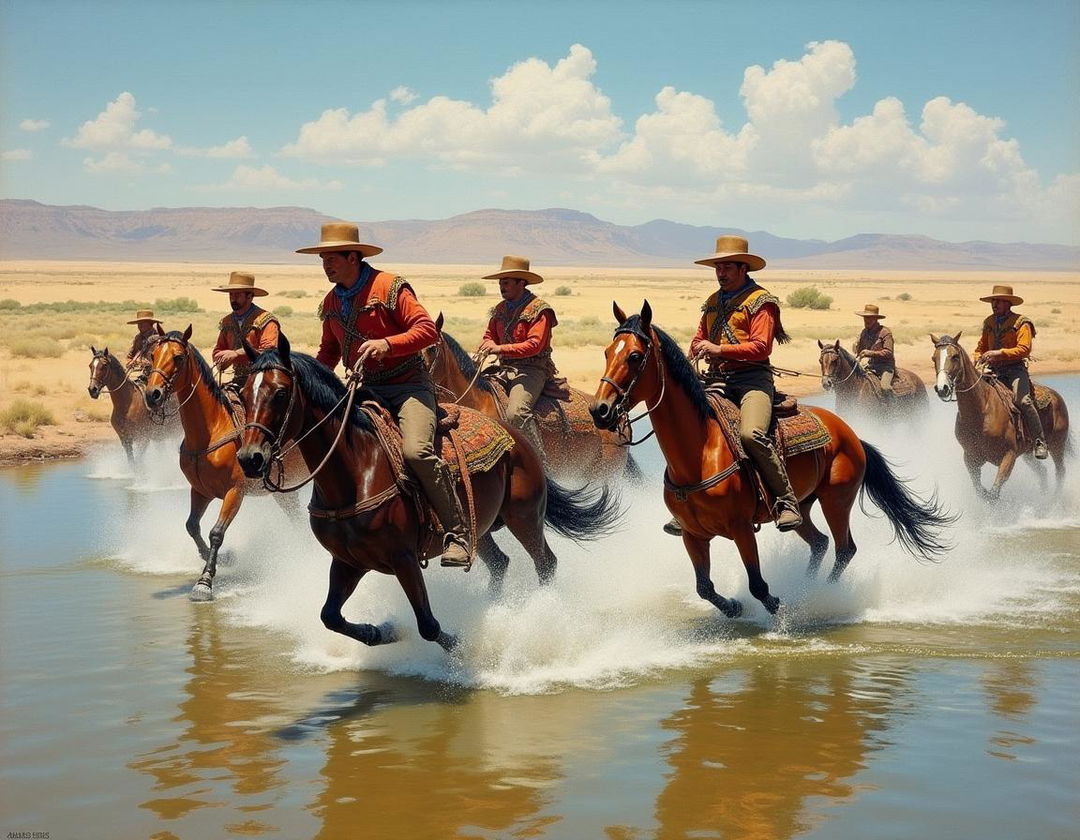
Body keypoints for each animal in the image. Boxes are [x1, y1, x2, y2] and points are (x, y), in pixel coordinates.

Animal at [143, 323, 302, 600]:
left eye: (178, 357)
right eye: (153, 355)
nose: (153, 394)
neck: (210, 432)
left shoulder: (234, 492)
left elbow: (216, 532)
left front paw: (205, 581)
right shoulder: (200, 491)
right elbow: (192, 526)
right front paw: (220, 559)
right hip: (285, 493)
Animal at [236, 336, 626, 652]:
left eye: (281, 393)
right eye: (242, 393)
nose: (250, 458)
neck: (356, 471)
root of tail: (519, 438)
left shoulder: (404, 558)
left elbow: (427, 624)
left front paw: (460, 646)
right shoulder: (348, 561)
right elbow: (329, 616)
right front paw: (380, 632)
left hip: (525, 517)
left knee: (546, 563)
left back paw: (540, 614)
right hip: (478, 529)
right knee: (500, 562)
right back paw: (493, 608)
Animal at [591, 300, 954, 613]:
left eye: (635, 356)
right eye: (607, 352)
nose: (600, 409)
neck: (699, 452)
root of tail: (852, 435)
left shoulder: (741, 529)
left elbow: (758, 586)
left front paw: (776, 606)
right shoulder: (693, 535)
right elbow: (704, 587)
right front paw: (733, 607)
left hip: (836, 500)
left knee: (844, 549)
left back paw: (817, 597)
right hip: (801, 506)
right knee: (819, 543)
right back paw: (805, 588)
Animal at [928, 328, 1071, 496]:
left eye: (955, 356)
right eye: (934, 358)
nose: (942, 388)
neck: (981, 412)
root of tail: (1056, 396)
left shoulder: (1009, 456)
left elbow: (994, 492)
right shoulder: (970, 458)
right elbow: (981, 491)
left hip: (1057, 446)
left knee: (1060, 472)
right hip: (1028, 454)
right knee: (1042, 472)